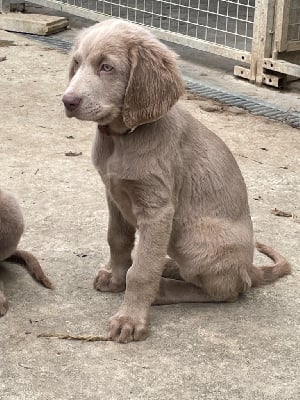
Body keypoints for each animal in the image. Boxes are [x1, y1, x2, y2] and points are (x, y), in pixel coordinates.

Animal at [62, 20, 290, 342]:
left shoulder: (157, 209)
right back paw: (168, 267)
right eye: (77, 63)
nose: (68, 101)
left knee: (228, 290)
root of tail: (250, 267)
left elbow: (141, 270)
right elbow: (117, 240)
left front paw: (130, 318)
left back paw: (165, 288)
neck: (122, 139)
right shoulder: (114, 195)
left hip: (192, 237)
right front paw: (116, 277)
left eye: (107, 67)